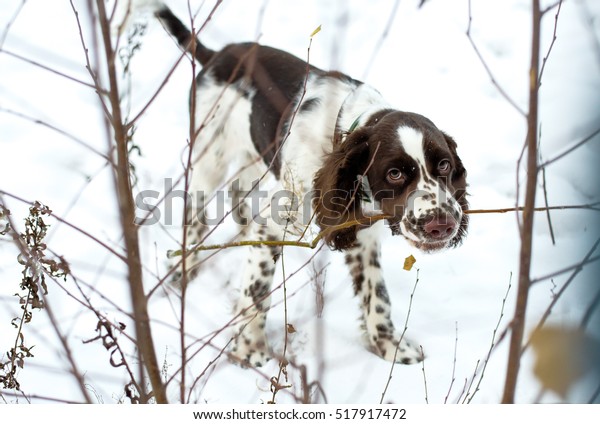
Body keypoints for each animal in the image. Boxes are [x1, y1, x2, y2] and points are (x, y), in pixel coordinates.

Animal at [154, 3, 468, 368]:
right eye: (394, 173)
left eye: (444, 165)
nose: (442, 225)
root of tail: (217, 54)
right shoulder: (275, 224)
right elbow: (257, 289)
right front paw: (250, 351)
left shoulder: (363, 231)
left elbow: (376, 292)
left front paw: (391, 347)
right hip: (210, 159)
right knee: (195, 218)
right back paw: (181, 275)